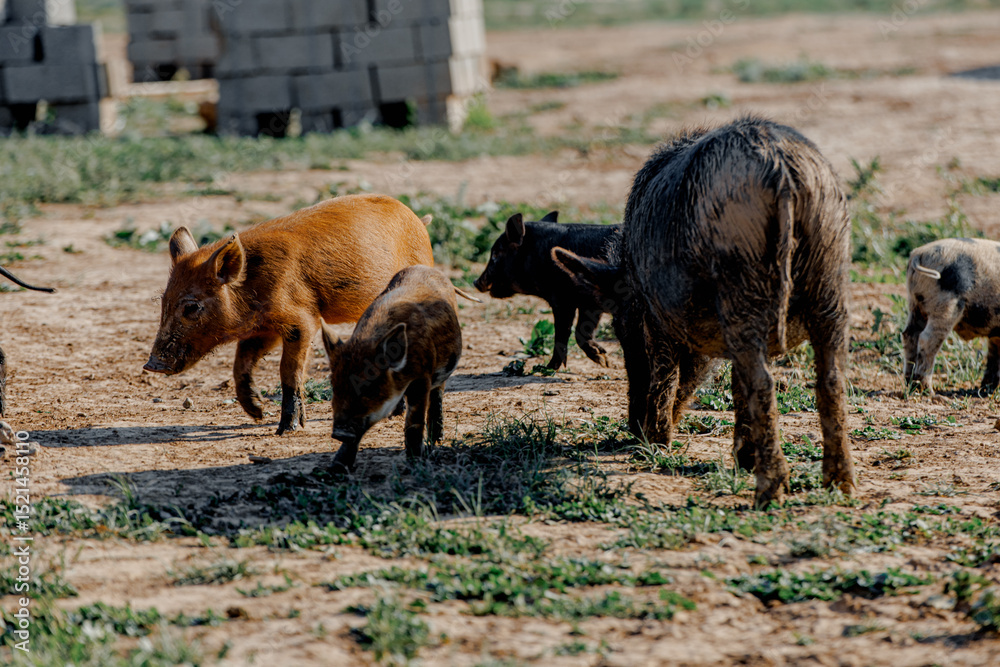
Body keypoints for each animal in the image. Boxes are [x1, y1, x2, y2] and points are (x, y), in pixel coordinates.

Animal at [144, 194, 434, 435]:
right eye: (163, 301)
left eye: (191, 307)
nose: (152, 365)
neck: (252, 287)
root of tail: (419, 220)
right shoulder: (264, 329)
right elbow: (240, 364)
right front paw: (257, 413)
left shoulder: (303, 320)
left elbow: (289, 371)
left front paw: (287, 429)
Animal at [321, 265, 462, 473]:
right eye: (334, 386)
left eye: (371, 386)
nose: (339, 432)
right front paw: (335, 468)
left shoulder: (423, 376)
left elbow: (414, 422)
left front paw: (414, 464)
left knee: (438, 395)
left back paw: (437, 440)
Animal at [474, 211, 620, 369]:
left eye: (495, 254)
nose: (475, 282)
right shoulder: (589, 305)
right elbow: (581, 332)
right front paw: (605, 361)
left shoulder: (562, 300)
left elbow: (562, 334)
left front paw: (547, 368)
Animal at [553, 116, 856, 508]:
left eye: (621, 327)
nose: (633, 430)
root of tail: (780, 168)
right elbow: (734, 382)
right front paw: (741, 459)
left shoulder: (655, 314)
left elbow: (666, 375)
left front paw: (657, 445)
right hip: (829, 270)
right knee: (830, 379)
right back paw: (840, 486)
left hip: (741, 273)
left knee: (764, 383)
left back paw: (768, 493)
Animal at [903, 237, 1000, 394]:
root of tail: (919, 254)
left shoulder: (996, 333)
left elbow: (994, 354)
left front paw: (987, 390)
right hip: (946, 304)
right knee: (927, 338)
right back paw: (929, 391)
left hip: (915, 303)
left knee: (910, 335)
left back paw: (910, 383)